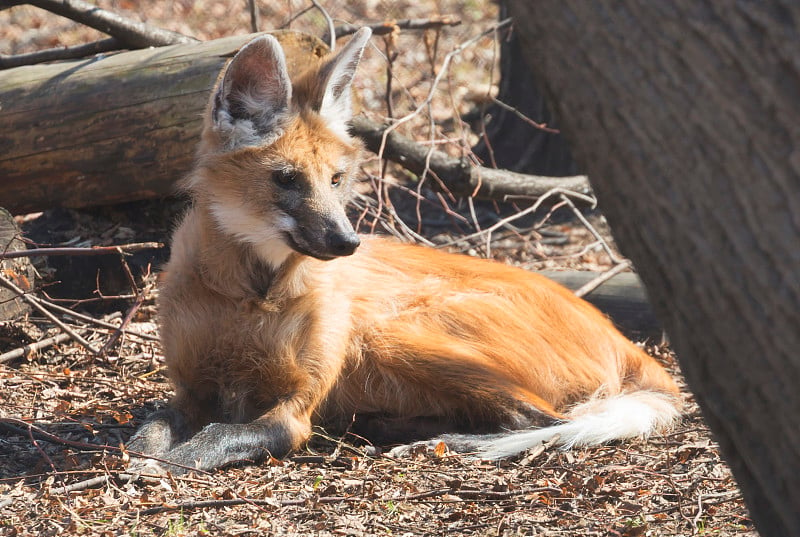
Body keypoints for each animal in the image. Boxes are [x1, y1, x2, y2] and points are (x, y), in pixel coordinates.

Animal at [128, 29, 680, 474]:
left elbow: (221, 434)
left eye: (336, 179)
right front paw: (144, 457)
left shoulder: (293, 410)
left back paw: (439, 440)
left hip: (391, 333)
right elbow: (149, 429)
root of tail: (623, 340)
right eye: (286, 179)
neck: (252, 293)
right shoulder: (191, 389)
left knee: (542, 417)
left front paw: (169, 464)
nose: (347, 242)